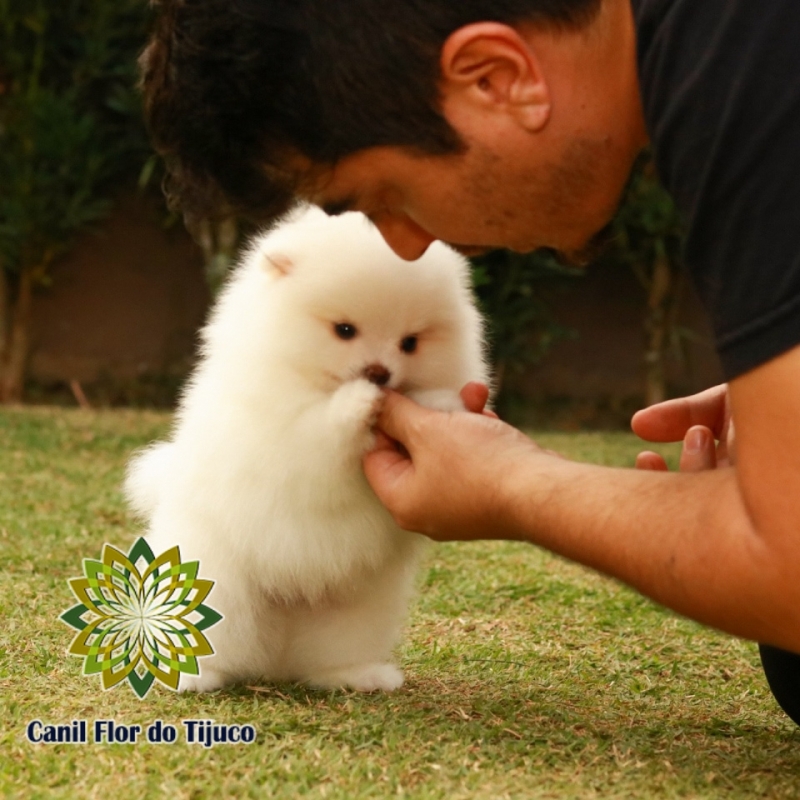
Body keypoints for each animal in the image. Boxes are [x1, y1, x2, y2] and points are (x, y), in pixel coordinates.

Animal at [125, 206, 488, 692]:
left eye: (410, 342)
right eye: (344, 330)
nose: (379, 373)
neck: (306, 377)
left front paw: (441, 407)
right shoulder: (284, 435)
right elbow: (323, 432)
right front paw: (359, 402)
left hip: (357, 604)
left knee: (332, 649)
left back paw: (357, 675)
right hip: (220, 583)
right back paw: (195, 678)